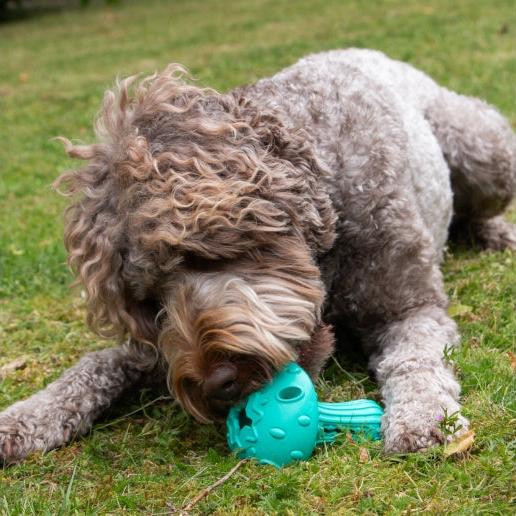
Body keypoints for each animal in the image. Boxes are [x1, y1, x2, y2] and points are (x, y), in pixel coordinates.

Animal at [1, 50, 516, 466]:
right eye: (149, 302)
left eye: (192, 256)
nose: (216, 385)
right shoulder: (155, 353)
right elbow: (95, 365)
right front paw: (26, 417)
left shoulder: (408, 307)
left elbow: (414, 361)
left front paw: (424, 419)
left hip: (484, 151)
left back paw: (493, 232)